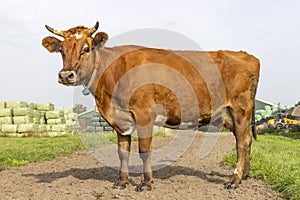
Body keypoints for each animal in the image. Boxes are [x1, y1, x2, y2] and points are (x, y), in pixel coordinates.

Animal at [42, 21, 260, 191]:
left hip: (240, 109)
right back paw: (245, 176)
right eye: (61, 50)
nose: (66, 75)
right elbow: (123, 151)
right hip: (228, 114)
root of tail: (246, 55)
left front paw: (146, 183)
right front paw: (121, 182)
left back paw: (234, 180)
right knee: (246, 140)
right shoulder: (120, 119)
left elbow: (144, 150)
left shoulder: (144, 114)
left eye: (86, 49)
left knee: (242, 143)